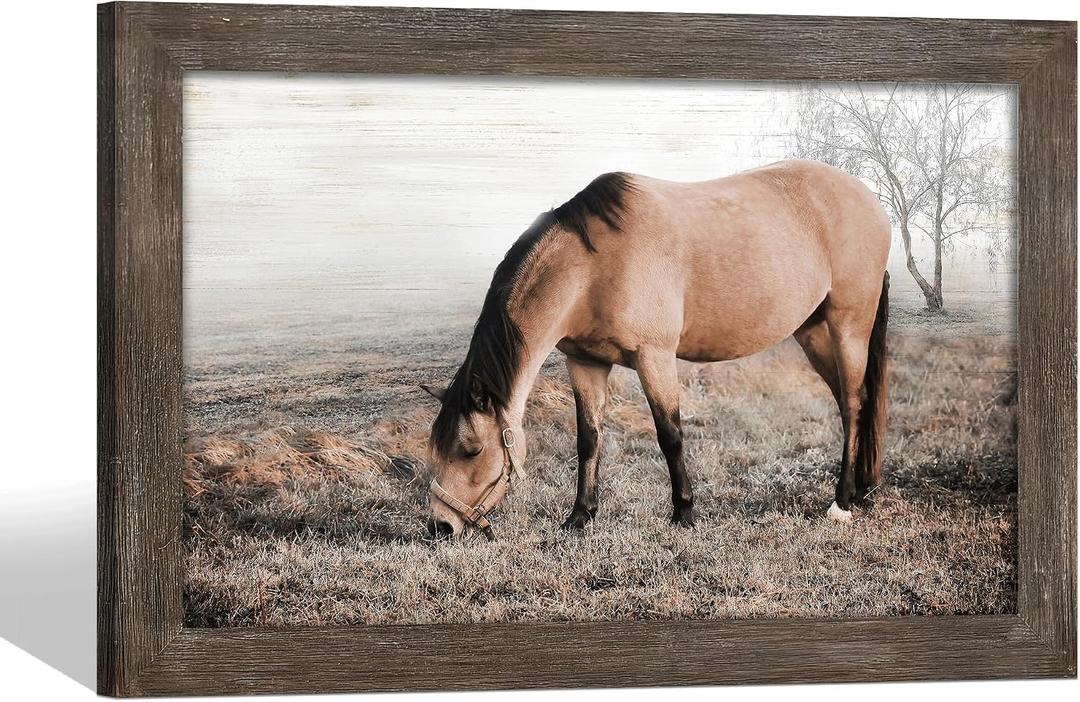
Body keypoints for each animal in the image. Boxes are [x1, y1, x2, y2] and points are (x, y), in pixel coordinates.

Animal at [422, 159, 890, 539]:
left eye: (471, 449)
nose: (441, 527)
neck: (594, 266)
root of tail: (870, 199)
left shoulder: (655, 358)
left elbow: (670, 435)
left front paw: (684, 514)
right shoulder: (585, 362)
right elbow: (588, 439)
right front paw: (579, 517)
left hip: (848, 325)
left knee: (853, 402)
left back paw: (841, 502)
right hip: (811, 331)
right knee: (850, 401)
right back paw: (861, 489)